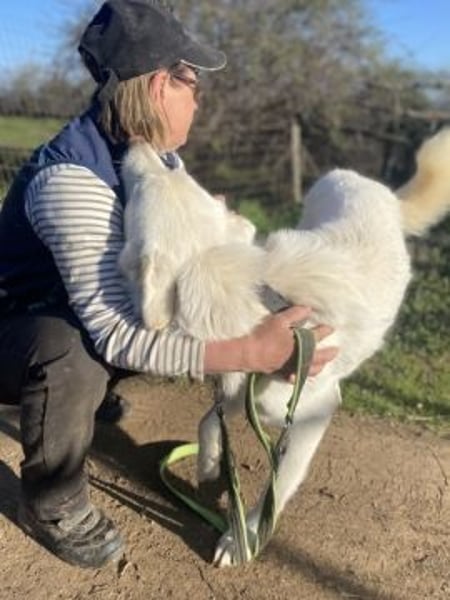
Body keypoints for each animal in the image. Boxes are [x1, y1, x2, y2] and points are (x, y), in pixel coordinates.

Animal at [120, 128, 450, 566]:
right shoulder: (240, 383)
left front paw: (242, 538)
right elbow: (210, 419)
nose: (137, 140)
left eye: (146, 184)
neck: (258, 299)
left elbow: (274, 489)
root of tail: (380, 191)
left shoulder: (311, 418)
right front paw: (209, 462)